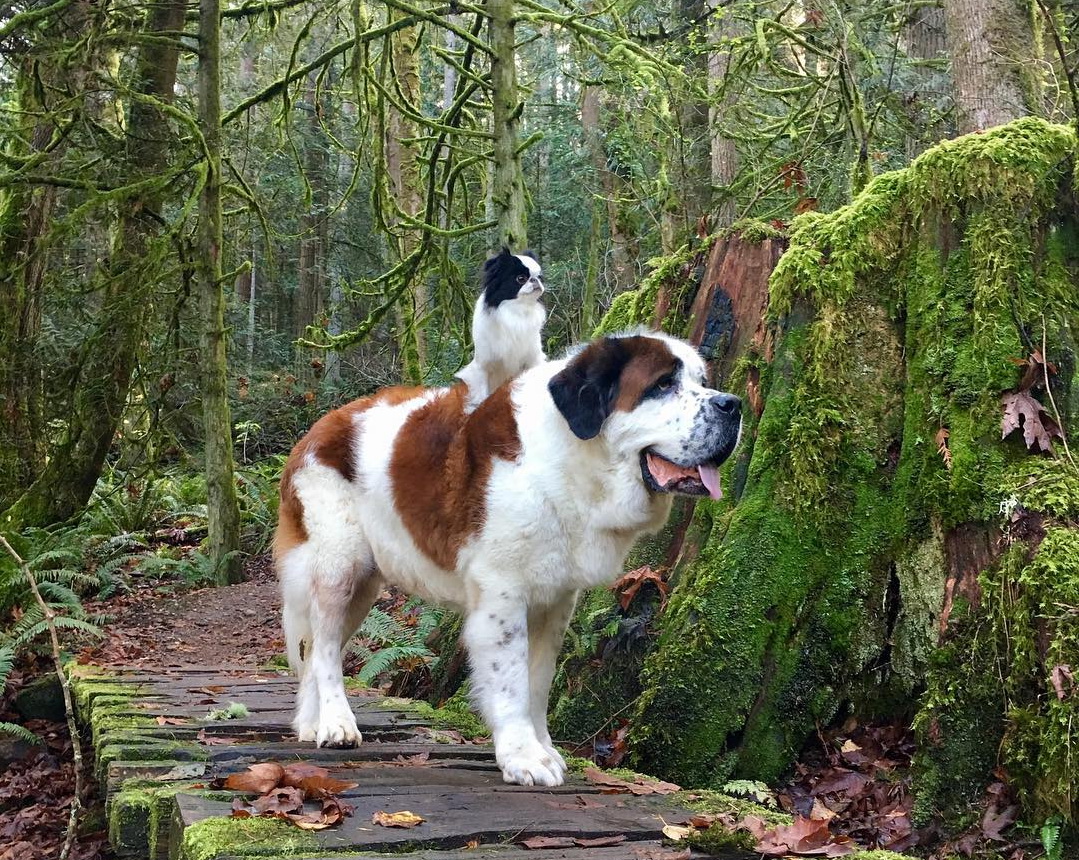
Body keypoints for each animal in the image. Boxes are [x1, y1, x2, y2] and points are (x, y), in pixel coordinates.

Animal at [274, 328, 738, 785]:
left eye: (701, 381)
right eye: (662, 385)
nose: (731, 405)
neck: (571, 459)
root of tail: (319, 427)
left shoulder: (555, 599)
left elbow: (539, 680)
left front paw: (543, 747)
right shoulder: (503, 593)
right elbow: (512, 678)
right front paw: (523, 757)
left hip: (364, 585)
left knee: (317, 649)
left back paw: (312, 724)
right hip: (339, 564)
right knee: (327, 648)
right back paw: (337, 724)